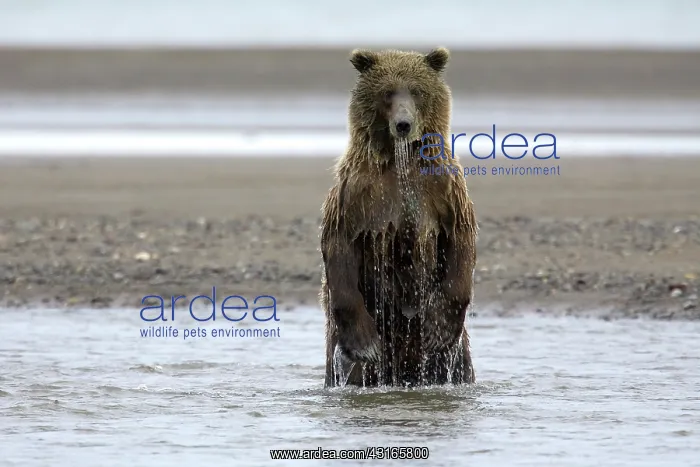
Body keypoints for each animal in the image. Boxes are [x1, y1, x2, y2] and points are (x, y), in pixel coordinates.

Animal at [320, 47, 478, 388]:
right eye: (387, 92)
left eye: (417, 90)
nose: (403, 124)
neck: (400, 162)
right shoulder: (356, 195)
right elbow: (339, 244)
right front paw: (365, 344)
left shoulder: (444, 190)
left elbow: (461, 240)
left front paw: (437, 330)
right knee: (351, 369)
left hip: (452, 355)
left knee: (458, 365)